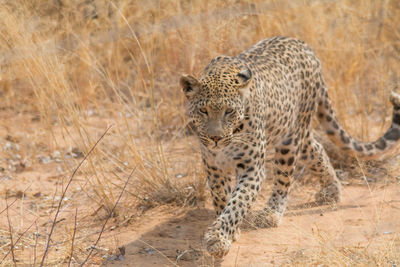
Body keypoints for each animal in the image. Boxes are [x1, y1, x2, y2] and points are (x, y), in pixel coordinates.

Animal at [180, 36, 400, 258]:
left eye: (229, 111)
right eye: (203, 111)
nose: (215, 138)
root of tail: (304, 45)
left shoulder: (252, 168)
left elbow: (237, 203)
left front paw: (219, 238)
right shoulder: (213, 165)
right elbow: (221, 196)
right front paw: (228, 231)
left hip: (291, 139)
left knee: (284, 179)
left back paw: (272, 213)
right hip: (297, 134)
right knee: (316, 148)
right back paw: (331, 190)